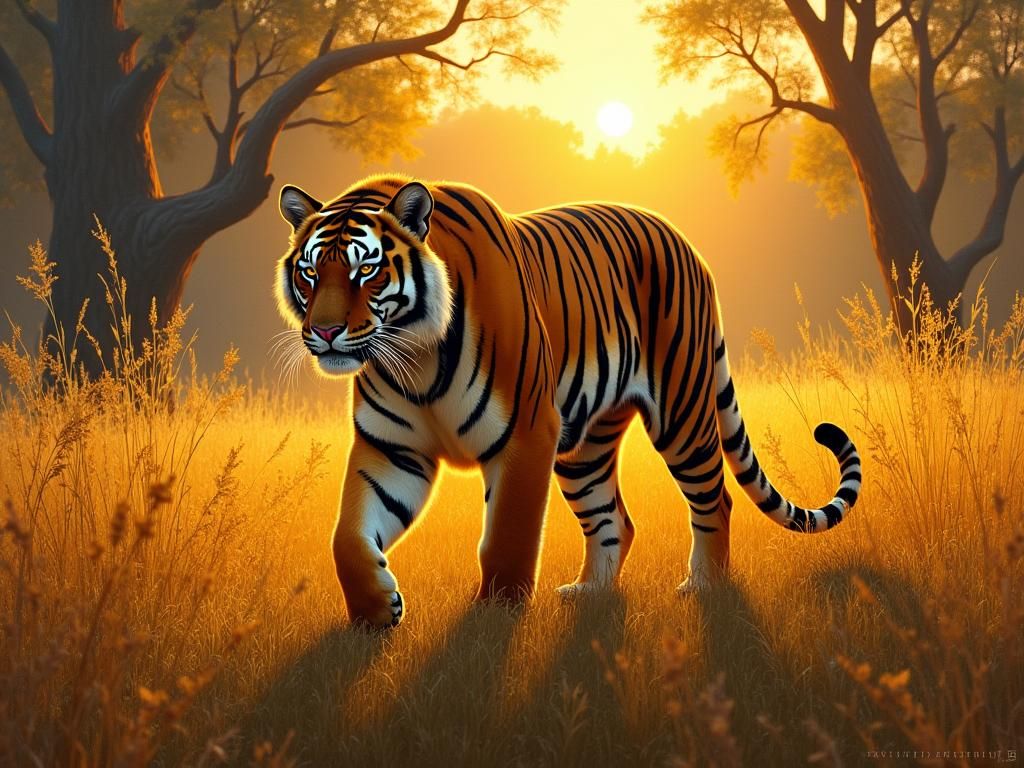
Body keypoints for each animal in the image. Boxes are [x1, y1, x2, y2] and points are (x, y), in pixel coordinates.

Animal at [274, 174, 862, 628]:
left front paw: (493, 618)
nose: (324, 332)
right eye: (310, 272)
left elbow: (507, 537)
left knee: (714, 501)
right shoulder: (391, 449)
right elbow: (348, 537)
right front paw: (376, 612)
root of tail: (681, 237)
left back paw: (704, 587)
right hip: (584, 449)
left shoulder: (525, 435)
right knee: (613, 520)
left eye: (366, 270)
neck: (414, 353)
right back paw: (590, 594)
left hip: (682, 414)